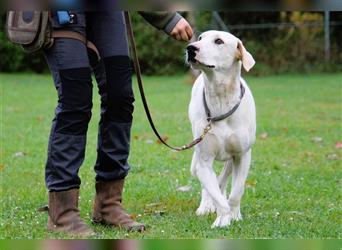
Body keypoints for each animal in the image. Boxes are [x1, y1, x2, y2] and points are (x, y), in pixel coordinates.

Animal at [186, 30, 255, 228]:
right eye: (200, 38)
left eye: (218, 41)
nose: (190, 48)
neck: (221, 98)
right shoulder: (203, 160)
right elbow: (213, 191)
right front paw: (222, 218)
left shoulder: (242, 156)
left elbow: (236, 191)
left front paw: (234, 214)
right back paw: (205, 207)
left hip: (231, 160)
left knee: (223, 179)